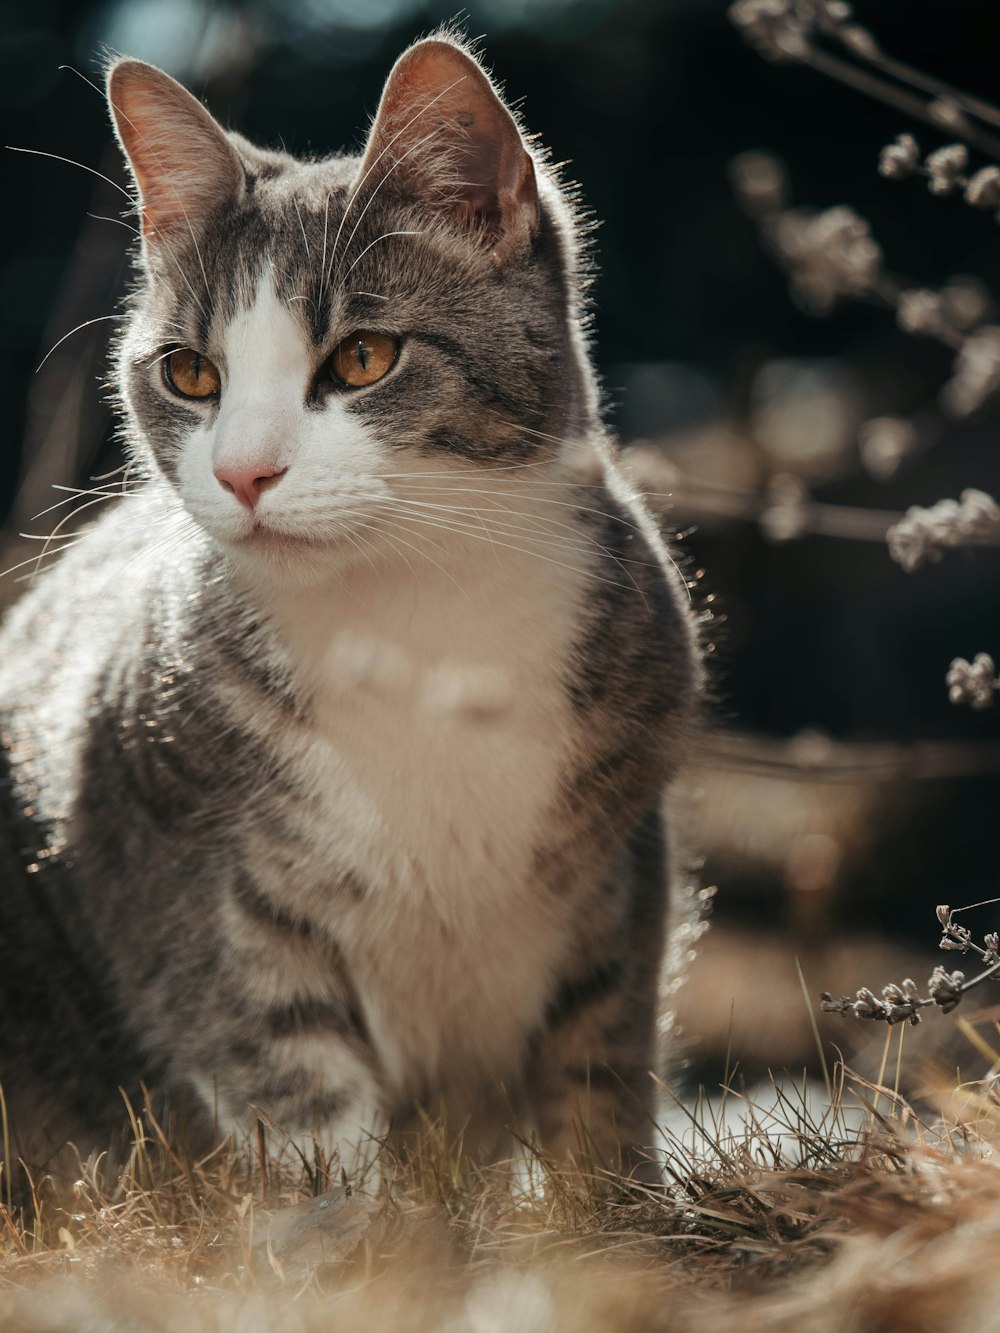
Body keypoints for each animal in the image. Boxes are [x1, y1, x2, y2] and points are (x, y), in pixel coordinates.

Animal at [0, 31, 704, 1189]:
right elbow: (306, 1115)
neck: (415, 626)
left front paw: (613, 1223)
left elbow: (598, 1089)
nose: (241, 472)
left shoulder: (618, 876)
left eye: (364, 358)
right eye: (188, 374)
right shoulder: (191, 889)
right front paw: (359, 1233)